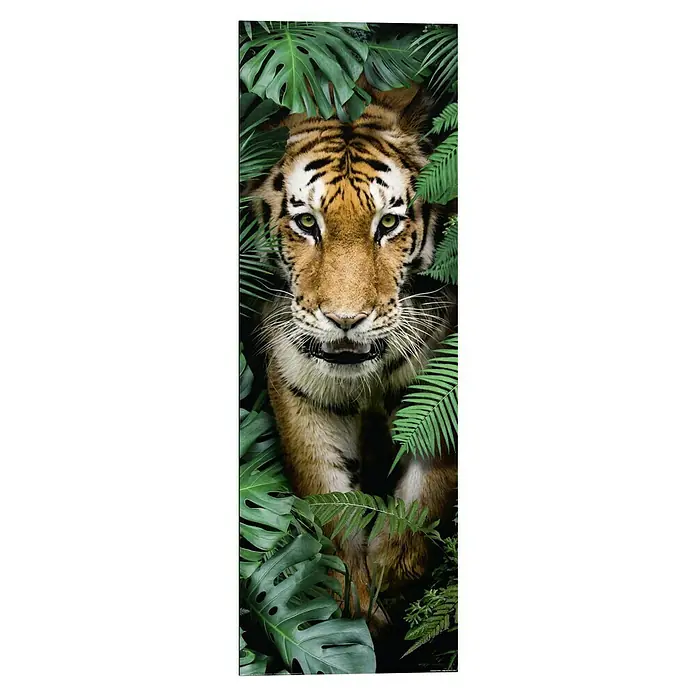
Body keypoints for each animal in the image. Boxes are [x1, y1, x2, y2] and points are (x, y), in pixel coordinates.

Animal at [250, 83, 457, 631]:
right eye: (306, 222)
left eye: (387, 223)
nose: (346, 320)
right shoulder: (299, 386)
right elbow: (324, 497)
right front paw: (348, 601)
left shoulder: (438, 387)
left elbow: (427, 492)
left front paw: (392, 576)